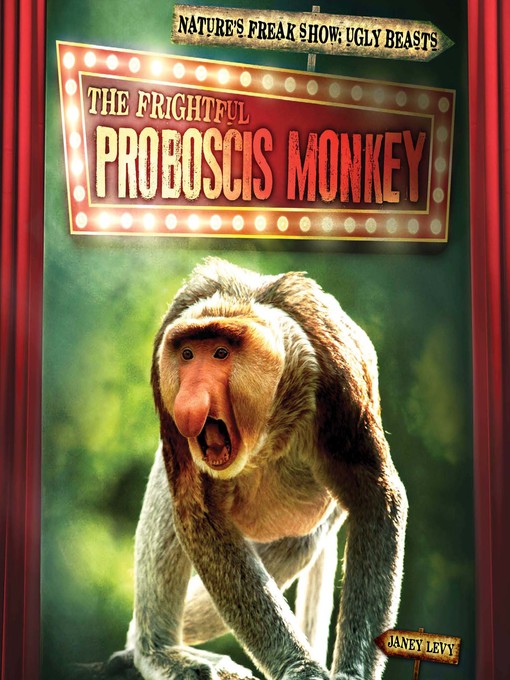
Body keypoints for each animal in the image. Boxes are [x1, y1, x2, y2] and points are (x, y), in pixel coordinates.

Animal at [109, 257, 408, 680]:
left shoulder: (339, 377)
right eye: (187, 355)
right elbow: (198, 513)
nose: (188, 402)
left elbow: (375, 499)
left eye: (220, 353)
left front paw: (350, 672)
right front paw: (301, 668)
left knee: (301, 542)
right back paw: (157, 649)